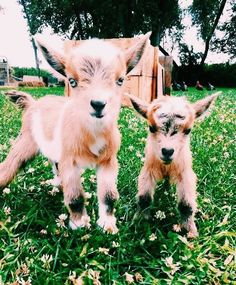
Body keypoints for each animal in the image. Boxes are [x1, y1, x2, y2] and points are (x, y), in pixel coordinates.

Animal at [0, 33, 150, 233]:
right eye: (72, 81)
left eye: (120, 80)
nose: (98, 104)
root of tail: (33, 103)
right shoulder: (70, 161)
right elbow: (75, 196)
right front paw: (79, 224)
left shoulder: (108, 160)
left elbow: (109, 195)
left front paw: (108, 225)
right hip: (26, 142)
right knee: (11, 165)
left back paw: (56, 184)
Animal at [127, 91, 219, 235]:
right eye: (151, 128)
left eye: (188, 130)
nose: (167, 151)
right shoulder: (148, 170)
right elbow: (144, 198)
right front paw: (139, 223)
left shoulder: (185, 172)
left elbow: (186, 204)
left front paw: (189, 231)